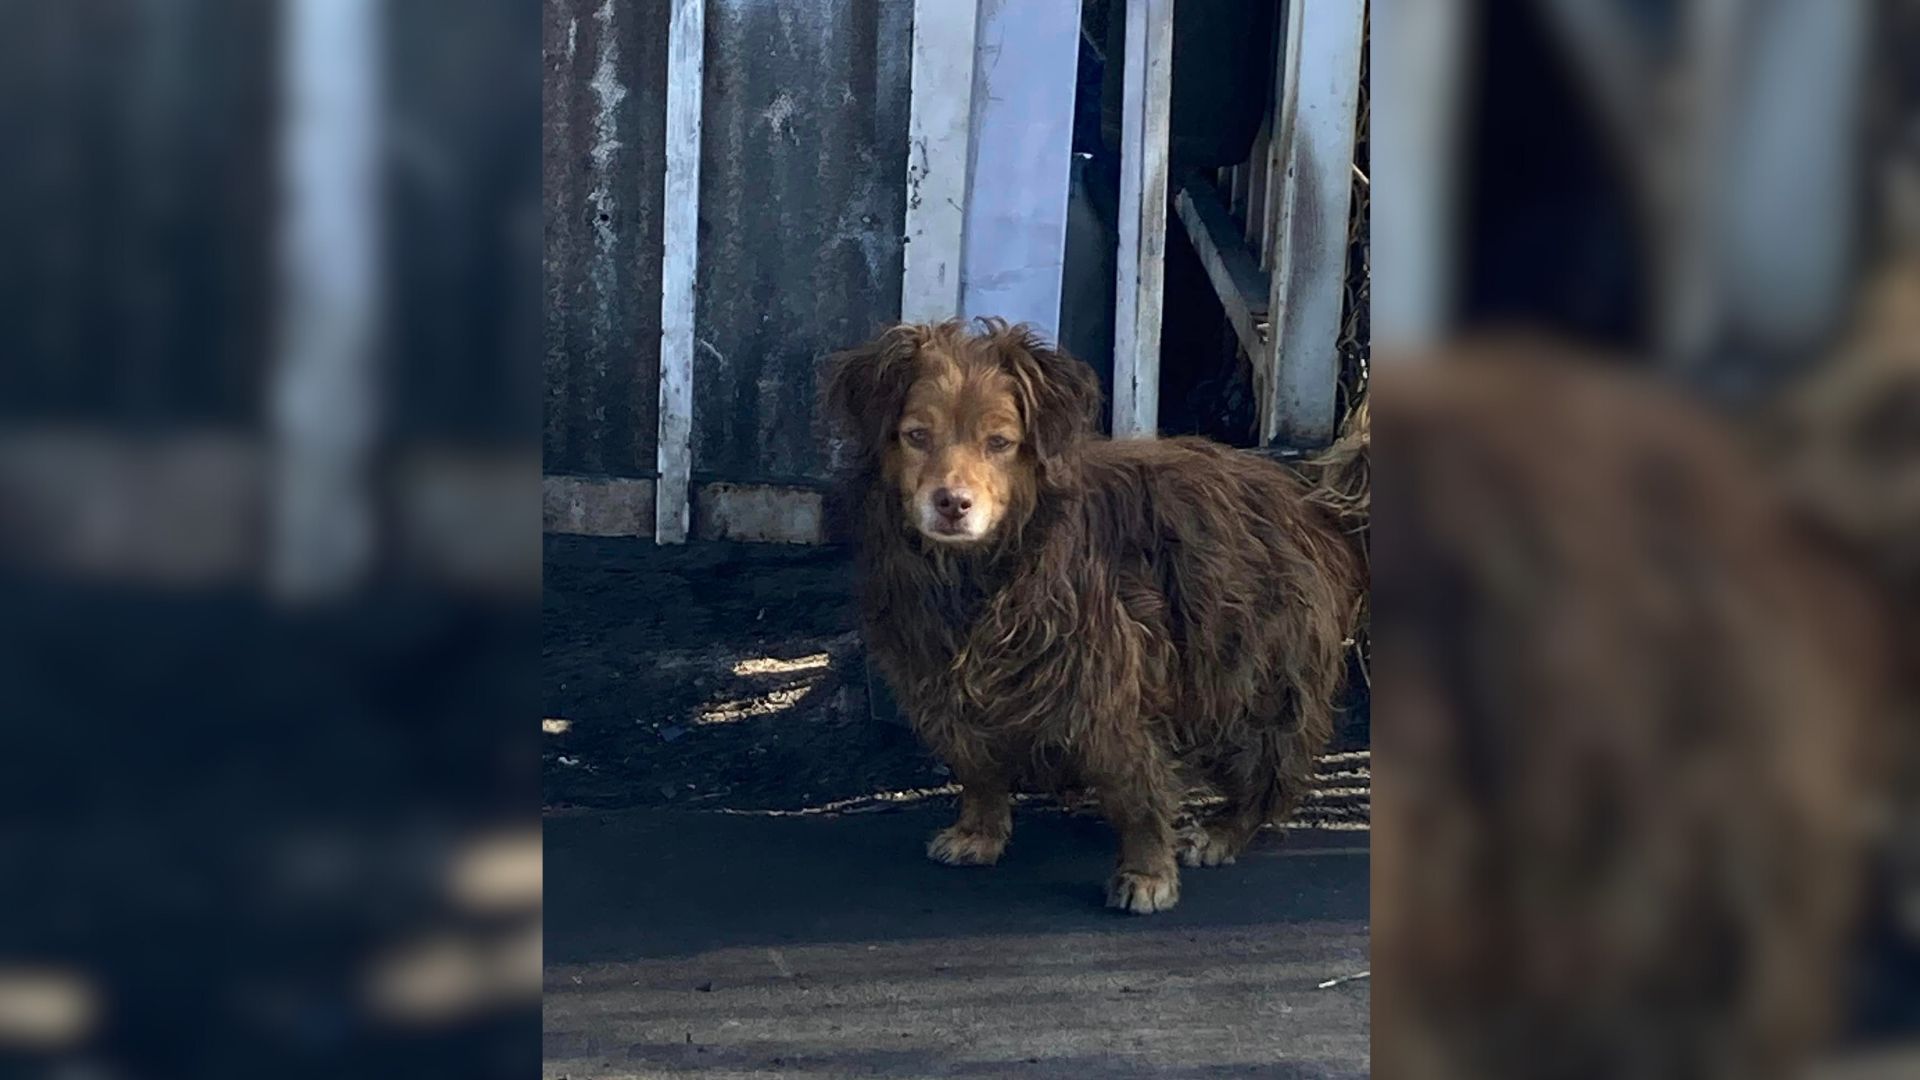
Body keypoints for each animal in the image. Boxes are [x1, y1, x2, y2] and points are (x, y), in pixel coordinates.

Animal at [825, 317, 1367, 907]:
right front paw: (979, 832)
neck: (982, 571)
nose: (952, 503)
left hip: (1253, 674)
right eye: (917, 436)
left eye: (1000, 443)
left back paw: (1223, 830)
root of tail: (1308, 501)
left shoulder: (1106, 688)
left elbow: (1135, 788)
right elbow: (978, 767)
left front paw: (1146, 872)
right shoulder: (940, 682)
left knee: (1269, 771)